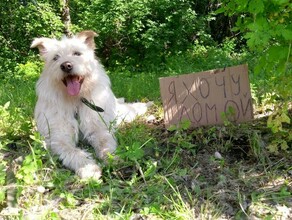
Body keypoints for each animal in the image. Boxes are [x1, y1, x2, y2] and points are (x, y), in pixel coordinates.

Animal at [31, 30, 152, 179]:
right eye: (55, 57)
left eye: (77, 53)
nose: (66, 65)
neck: (76, 100)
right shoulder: (58, 138)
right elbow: (73, 152)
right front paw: (89, 168)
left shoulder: (99, 129)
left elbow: (105, 144)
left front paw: (113, 159)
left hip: (124, 113)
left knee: (135, 108)